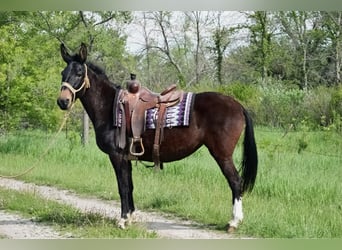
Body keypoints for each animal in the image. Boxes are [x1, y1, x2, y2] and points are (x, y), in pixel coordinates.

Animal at [57, 42, 258, 232]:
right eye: (63, 73)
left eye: (79, 72)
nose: (62, 101)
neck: (111, 108)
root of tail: (237, 105)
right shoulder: (127, 158)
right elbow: (129, 186)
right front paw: (130, 217)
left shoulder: (117, 156)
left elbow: (122, 187)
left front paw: (122, 220)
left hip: (222, 155)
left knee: (235, 182)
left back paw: (234, 221)